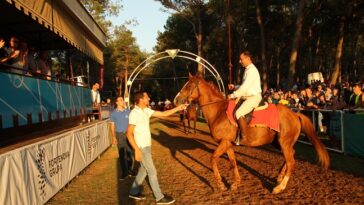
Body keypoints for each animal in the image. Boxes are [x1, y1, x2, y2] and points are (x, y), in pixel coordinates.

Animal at [173, 73, 330, 194]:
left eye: (188, 86)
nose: (176, 100)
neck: (219, 111)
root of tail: (295, 114)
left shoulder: (224, 142)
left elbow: (213, 159)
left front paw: (221, 184)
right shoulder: (228, 144)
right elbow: (233, 162)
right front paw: (236, 183)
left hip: (284, 143)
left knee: (291, 161)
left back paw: (280, 187)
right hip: (279, 142)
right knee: (292, 154)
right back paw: (279, 176)